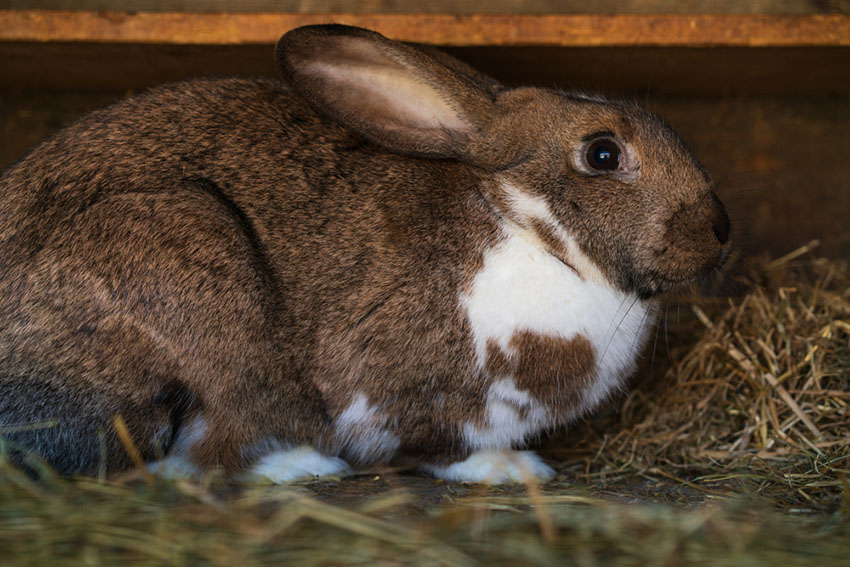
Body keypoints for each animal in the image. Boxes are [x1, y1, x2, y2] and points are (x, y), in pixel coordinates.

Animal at [0, 23, 728, 484]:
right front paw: (514, 469)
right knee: (195, 452)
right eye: (603, 154)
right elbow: (437, 446)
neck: (530, 225)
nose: (721, 232)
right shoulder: (406, 391)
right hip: (194, 276)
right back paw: (301, 467)